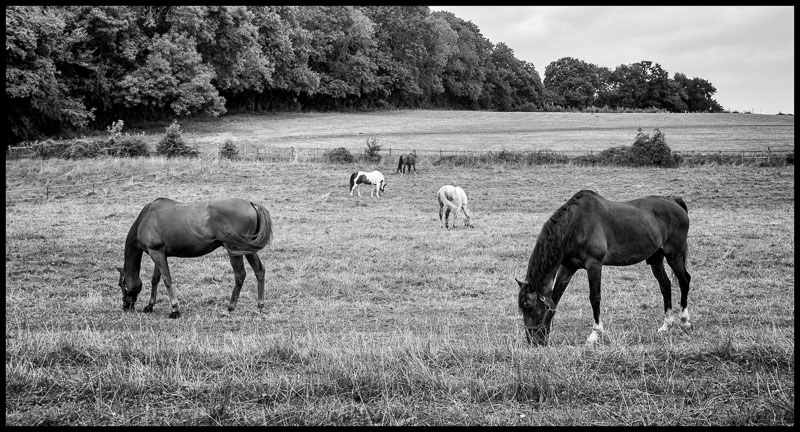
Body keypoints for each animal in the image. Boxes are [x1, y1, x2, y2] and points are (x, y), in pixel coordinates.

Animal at [116, 197, 273, 319]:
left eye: (121, 285)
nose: (125, 306)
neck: (145, 218)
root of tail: (251, 204)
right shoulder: (158, 253)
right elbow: (155, 279)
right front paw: (150, 305)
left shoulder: (156, 253)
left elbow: (167, 280)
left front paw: (175, 309)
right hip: (248, 249)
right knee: (259, 271)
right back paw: (260, 306)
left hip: (235, 250)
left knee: (240, 275)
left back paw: (229, 308)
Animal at [516, 190, 691, 346]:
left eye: (530, 307)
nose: (534, 342)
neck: (576, 225)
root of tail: (675, 202)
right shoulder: (568, 267)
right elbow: (556, 296)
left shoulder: (594, 264)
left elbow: (594, 298)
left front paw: (595, 334)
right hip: (656, 259)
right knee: (665, 285)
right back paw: (667, 324)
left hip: (674, 256)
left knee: (684, 280)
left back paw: (685, 321)